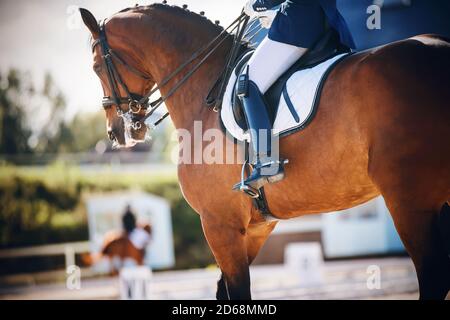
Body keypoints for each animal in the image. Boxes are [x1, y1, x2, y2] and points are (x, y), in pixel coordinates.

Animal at [80, 4, 450, 300]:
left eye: (97, 67)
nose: (116, 132)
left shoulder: (218, 223)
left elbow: (237, 292)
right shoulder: (256, 227)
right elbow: (223, 291)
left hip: (409, 200)